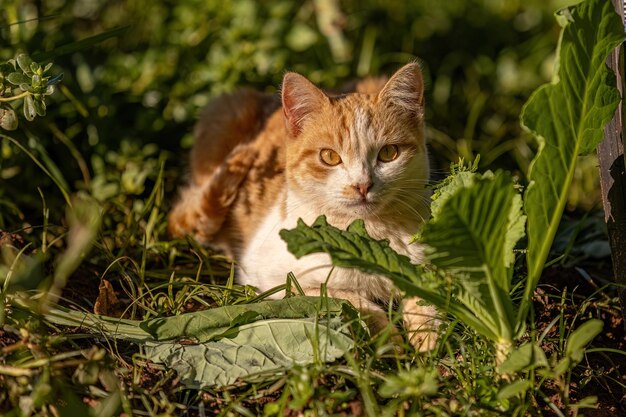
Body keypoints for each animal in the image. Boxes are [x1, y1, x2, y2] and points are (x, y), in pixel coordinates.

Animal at [168, 61, 436, 348]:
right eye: (329, 157)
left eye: (388, 153)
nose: (362, 185)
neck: (367, 237)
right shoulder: (275, 281)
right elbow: (349, 300)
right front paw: (391, 341)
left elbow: (427, 302)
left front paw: (427, 339)